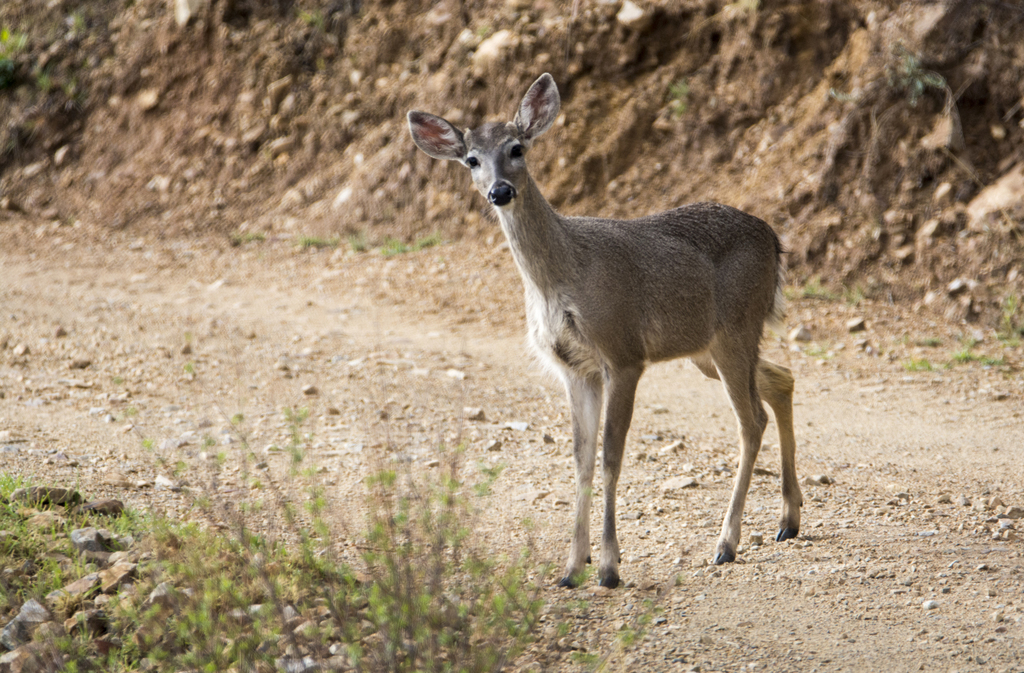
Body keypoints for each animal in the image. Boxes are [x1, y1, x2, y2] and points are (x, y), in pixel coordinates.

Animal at [408, 73, 802, 589]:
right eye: (471, 159)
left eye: (517, 148)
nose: (499, 191)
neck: (561, 279)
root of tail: (774, 240)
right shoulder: (575, 368)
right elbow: (581, 460)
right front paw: (572, 567)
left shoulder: (624, 353)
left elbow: (612, 457)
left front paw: (610, 567)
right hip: (707, 347)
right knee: (781, 379)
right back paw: (789, 520)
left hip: (735, 329)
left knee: (751, 419)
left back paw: (726, 543)